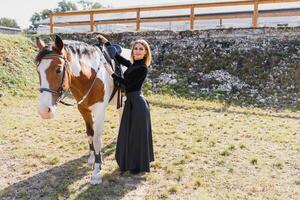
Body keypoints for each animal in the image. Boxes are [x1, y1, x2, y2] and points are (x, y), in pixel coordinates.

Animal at [35, 34, 126, 184]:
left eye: (58, 69)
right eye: (38, 71)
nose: (44, 111)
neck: (90, 76)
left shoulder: (99, 111)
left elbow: (97, 139)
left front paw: (97, 171)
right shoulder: (83, 109)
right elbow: (90, 134)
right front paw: (91, 159)